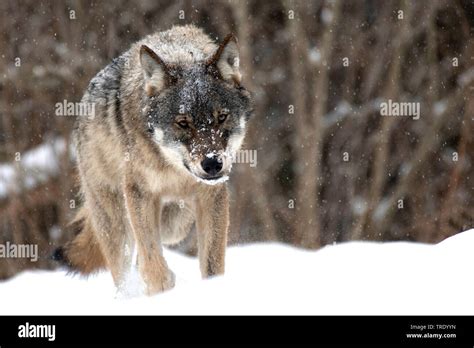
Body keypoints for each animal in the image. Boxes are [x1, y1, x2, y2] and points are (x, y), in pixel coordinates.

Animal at [54, 25, 254, 296]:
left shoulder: (211, 196)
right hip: (116, 219)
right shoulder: (139, 193)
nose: (212, 164)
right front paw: (162, 289)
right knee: (125, 268)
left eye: (221, 117)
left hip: (175, 221)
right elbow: (152, 263)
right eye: (183, 123)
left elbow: (212, 263)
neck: (173, 169)